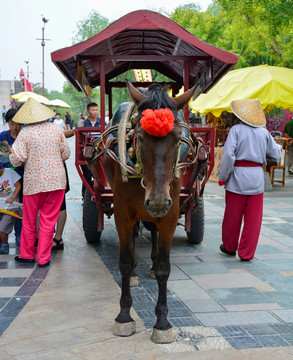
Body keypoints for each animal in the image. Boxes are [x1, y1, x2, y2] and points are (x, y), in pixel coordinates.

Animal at [104, 81, 195, 344]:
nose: (156, 200)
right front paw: (124, 316)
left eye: (177, 138)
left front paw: (162, 322)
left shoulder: (171, 213)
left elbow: (165, 267)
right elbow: (124, 262)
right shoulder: (122, 213)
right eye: (142, 138)